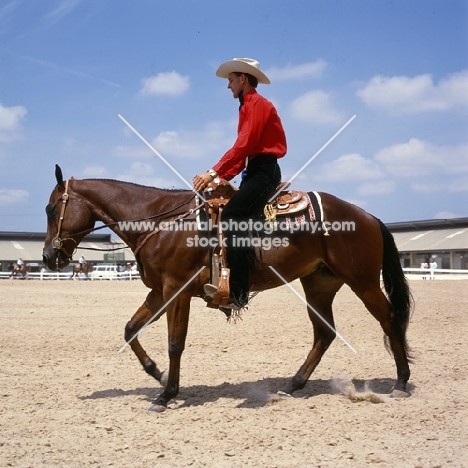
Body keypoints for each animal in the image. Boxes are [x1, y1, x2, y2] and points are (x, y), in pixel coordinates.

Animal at [42, 165, 412, 414]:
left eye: (50, 209)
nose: (48, 257)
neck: (161, 221)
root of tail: (367, 216)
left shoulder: (176, 290)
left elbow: (175, 343)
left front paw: (166, 395)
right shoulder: (159, 292)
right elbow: (131, 329)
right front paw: (158, 375)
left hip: (362, 281)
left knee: (389, 319)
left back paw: (401, 382)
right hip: (319, 284)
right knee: (325, 333)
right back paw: (291, 386)